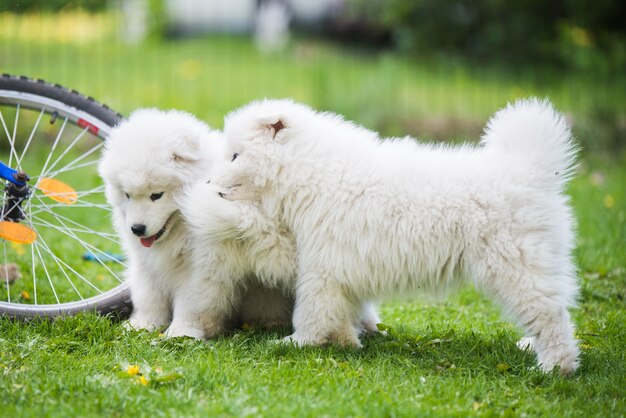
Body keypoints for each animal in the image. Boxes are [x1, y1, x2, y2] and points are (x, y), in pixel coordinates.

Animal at [97, 109, 292, 334]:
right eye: (127, 195)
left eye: (157, 195)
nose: (137, 229)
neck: (180, 228)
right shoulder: (146, 261)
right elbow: (148, 294)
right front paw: (143, 324)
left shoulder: (202, 266)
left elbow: (192, 301)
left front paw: (181, 332)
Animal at [206, 99, 580, 374]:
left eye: (235, 156)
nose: (208, 182)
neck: (305, 172)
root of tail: (529, 172)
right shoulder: (339, 267)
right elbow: (341, 310)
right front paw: (345, 342)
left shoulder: (320, 267)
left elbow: (311, 310)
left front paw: (298, 343)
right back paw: (532, 347)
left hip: (515, 266)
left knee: (550, 315)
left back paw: (555, 367)